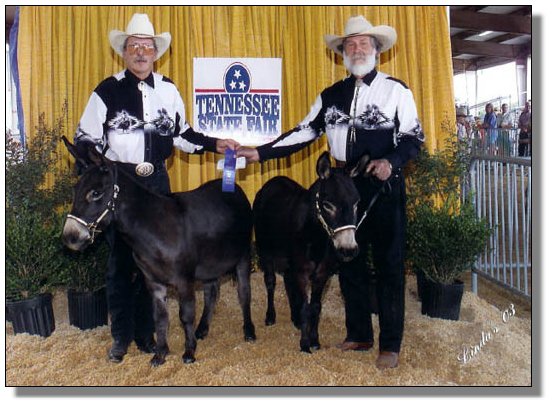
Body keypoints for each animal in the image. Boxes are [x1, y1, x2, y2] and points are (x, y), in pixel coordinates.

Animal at [253, 152, 370, 353]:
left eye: (357, 204)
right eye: (328, 205)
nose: (348, 250)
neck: (316, 236)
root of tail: (274, 181)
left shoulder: (322, 273)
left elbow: (315, 306)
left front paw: (314, 341)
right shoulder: (302, 271)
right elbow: (305, 306)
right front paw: (304, 344)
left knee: (287, 281)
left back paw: (295, 319)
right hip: (265, 251)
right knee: (270, 282)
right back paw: (270, 317)